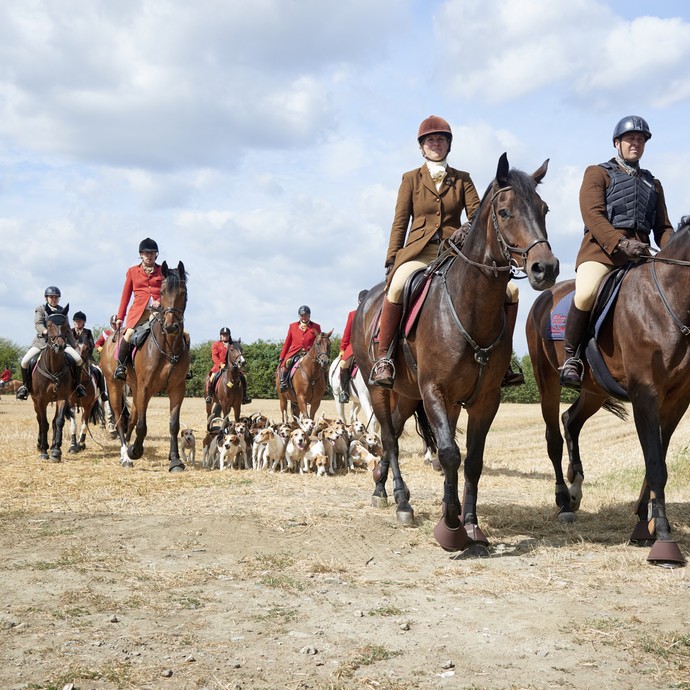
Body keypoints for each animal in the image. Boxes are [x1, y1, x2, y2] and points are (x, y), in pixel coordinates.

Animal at [28, 308, 77, 460]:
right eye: (48, 325)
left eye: (66, 325)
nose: (59, 346)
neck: (53, 368)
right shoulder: (41, 400)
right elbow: (44, 423)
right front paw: (44, 451)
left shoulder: (62, 397)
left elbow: (59, 421)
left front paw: (55, 451)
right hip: (35, 401)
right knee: (39, 419)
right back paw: (40, 445)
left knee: (55, 421)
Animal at [101, 260, 189, 470]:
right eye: (162, 292)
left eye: (183, 292)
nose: (171, 327)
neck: (168, 347)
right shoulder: (145, 388)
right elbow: (142, 425)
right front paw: (135, 450)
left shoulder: (177, 389)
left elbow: (173, 425)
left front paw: (175, 460)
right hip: (115, 386)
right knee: (120, 419)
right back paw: (125, 455)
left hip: (133, 387)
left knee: (131, 418)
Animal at [350, 153, 560, 552]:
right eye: (505, 212)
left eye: (544, 209)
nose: (546, 268)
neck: (469, 305)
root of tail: (367, 299)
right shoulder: (435, 391)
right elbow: (449, 453)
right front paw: (450, 525)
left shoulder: (484, 399)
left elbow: (472, 460)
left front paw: (471, 525)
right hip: (380, 389)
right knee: (390, 437)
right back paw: (400, 500)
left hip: (409, 394)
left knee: (395, 430)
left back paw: (381, 483)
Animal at [524, 215, 688, 564]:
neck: (667, 301)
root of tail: (543, 298)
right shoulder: (645, 395)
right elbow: (655, 462)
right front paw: (662, 537)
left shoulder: (679, 399)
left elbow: (658, 458)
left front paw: (644, 522)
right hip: (547, 381)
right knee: (553, 437)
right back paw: (563, 502)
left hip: (594, 390)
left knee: (571, 420)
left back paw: (575, 488)